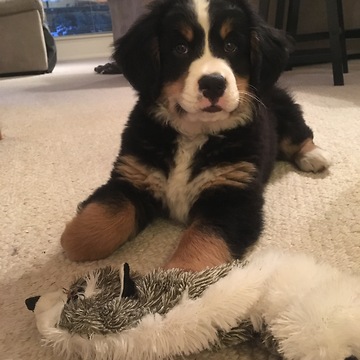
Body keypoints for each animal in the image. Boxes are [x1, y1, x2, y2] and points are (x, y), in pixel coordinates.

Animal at [60, 0, 330, 270]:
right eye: (180, 48)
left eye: (231, 46)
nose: (213, 84)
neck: (193, 134)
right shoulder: (132, 177)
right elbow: (85, 234)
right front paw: (72, 238)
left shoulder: (232, 196)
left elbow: (200, 247)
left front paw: (177, 277)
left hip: (285, 110)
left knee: (300, 134)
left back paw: (314, 156)